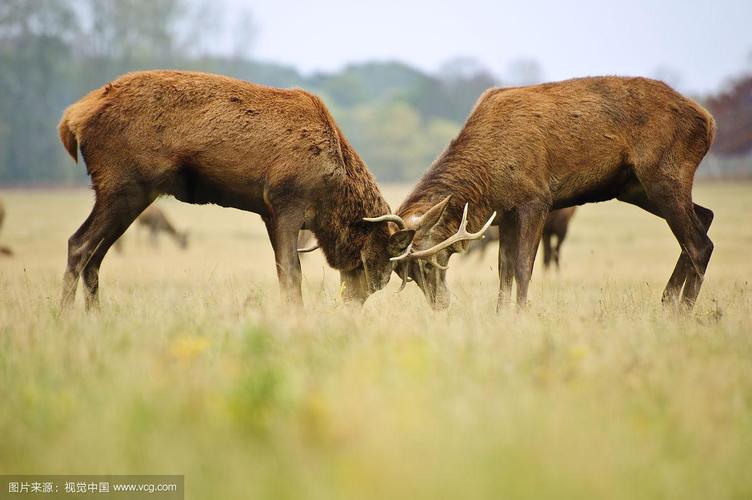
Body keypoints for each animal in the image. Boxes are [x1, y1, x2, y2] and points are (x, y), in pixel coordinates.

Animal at [58, 70, 413, 310]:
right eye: (376, 269)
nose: (350, 306)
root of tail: (72, 120)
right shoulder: (287, 200)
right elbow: (292, 273)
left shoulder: (269, 213)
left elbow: (282, 271)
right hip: (124, 184)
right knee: (79, 243)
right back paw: (64, 317)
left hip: (128, 192)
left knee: (95, 253)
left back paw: (94, 316)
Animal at [372, 76, 716, 311]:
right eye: (408, 274)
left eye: (431, 264)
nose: (441, 304)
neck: (487, 182)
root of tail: (709, 121)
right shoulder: (505, 213)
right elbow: (504, 270)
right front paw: (501, 316)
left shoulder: (536, 199)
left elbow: (524, 267)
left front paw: (521, 315)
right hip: (635, 187)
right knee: (705, 217)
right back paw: (667, 302)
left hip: (664, 173)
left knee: (699, 243)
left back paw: (682, 311)